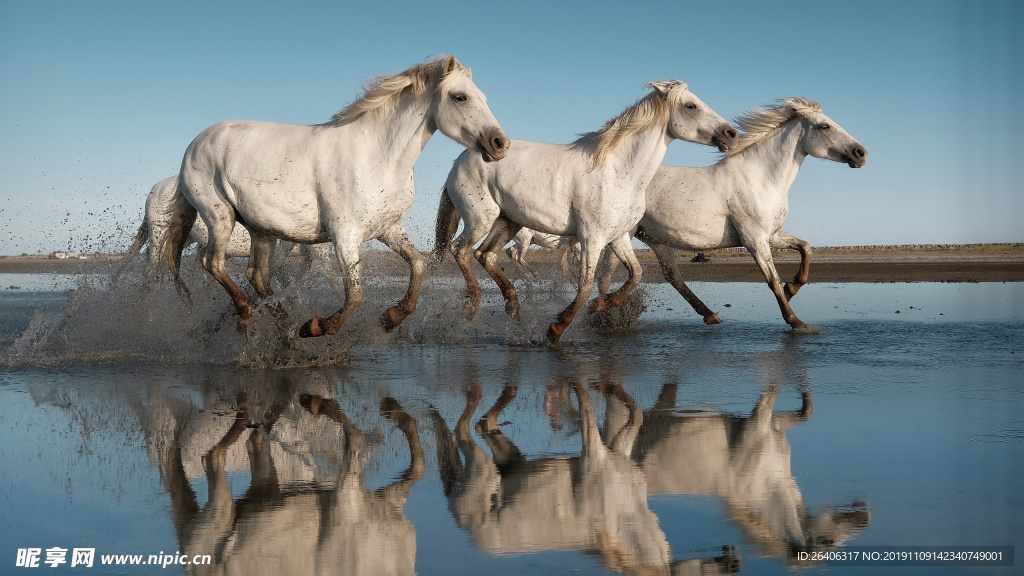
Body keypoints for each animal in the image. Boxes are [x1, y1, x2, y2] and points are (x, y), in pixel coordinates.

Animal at [159, 54, 507, 332]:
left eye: (484, 97)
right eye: (460, 97)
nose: (500, 144)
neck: (377, 155)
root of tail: (195, 144)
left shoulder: (388, 228)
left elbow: (417, 264)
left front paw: (391, 318)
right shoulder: (345, 235)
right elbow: (354, 294)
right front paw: (316, 327)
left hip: (261, 229)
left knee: (257, 276)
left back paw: (286, 332)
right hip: (219, 216)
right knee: (214, 263)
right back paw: (250, 315)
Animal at [432, 79, 737, 340]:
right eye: (691, 105)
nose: (730, 134)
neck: (619, 172)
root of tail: (460, 159)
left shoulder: (619, 236)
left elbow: (635, 274)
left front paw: (601, 305)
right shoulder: (592, 238)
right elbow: (586, 284)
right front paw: (556, 329)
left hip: (509, 221)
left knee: (486, 255)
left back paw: (513, 305)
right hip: (480, 219)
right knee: (461, 250)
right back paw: (473, 305)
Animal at [598, 97, 868, 327]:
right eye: (825, 126)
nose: (861, 153)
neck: (762, 179)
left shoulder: (772, 235)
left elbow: (806, 248)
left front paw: (792, 288)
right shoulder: (754, 239)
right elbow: (772, 280)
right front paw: (796, 322)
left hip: (656, 238)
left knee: (672, 276)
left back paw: (709, 315)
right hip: (625, 233)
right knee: (608, 273)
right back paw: (604, 311)